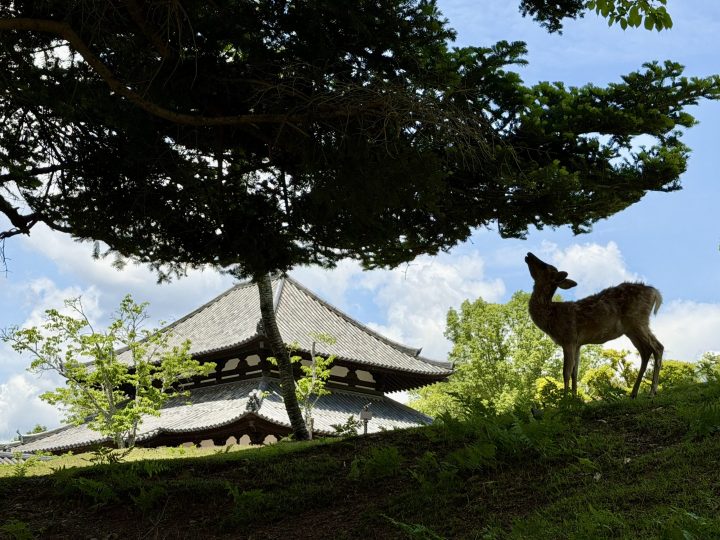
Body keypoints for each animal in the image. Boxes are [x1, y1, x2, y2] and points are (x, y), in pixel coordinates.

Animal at [524, 252, 663, 398]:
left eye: (545, 267)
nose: (529, 254)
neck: (551, 316)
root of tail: (654, 292)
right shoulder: (577, 343)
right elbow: (575, 372)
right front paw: (575, 398)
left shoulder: (568, 338)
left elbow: (566, 372)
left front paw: (565, 399)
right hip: (631, 330)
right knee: (645, 352)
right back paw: (634, 393)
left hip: (638, 320)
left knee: (658, 347)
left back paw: (652, 392)